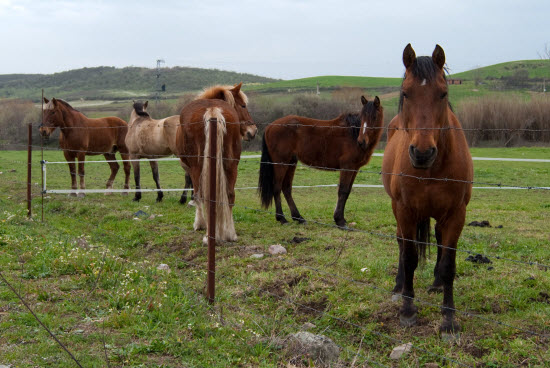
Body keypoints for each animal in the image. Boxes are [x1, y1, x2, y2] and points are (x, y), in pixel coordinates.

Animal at [178, 84, 258, 243]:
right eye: (243, 105)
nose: (253, 131)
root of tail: (213, 109)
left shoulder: (191, 169)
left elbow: (197, 196)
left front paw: (199, 223)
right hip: (232, 165)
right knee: (230, 195)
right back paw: (230, 233)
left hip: (198, 167)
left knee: (205, 196)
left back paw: (209, 235)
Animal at [258, 96, 384, 226]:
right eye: (362, 117)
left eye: (374, 117)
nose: (361, 141)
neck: (352, 133)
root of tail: (269, 127)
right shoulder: (347, 167)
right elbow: (342, 191)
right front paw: (339, 220)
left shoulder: (354, 169)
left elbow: (347, 191)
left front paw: (341, 218)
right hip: (280, 163)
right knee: (277, 187)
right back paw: (282, 218)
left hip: (291, 162)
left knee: (286, 188)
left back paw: (298, 218)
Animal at [384, 44, 474, 334]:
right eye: (405, 93)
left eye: (443, 93)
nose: (422, 153)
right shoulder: (405, 211)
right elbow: (410, 257)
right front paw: (407, 309)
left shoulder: (456, 214)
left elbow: (448, 264)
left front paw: (448, 319)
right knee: (402, 243)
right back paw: (399, 285)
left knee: (437, 238)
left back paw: (435, 284)